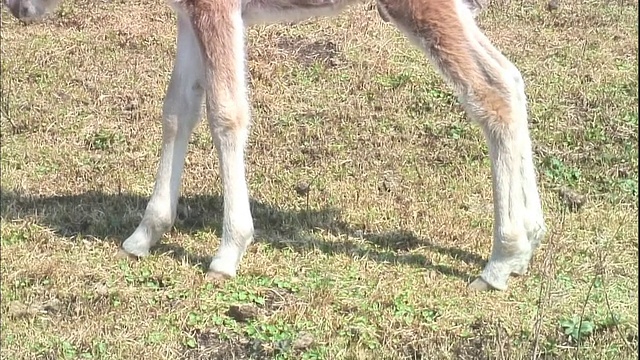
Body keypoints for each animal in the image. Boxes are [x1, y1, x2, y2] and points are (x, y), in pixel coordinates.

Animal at [3, 0, 544, 290]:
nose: (17, 9)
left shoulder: (216, 8)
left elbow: (226, 113)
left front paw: (229, 251)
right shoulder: (188, 14)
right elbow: (178, 110)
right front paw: (145, 234)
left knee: (491, 93)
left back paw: (499, 260)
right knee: (512, 78)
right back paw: (529, 243)